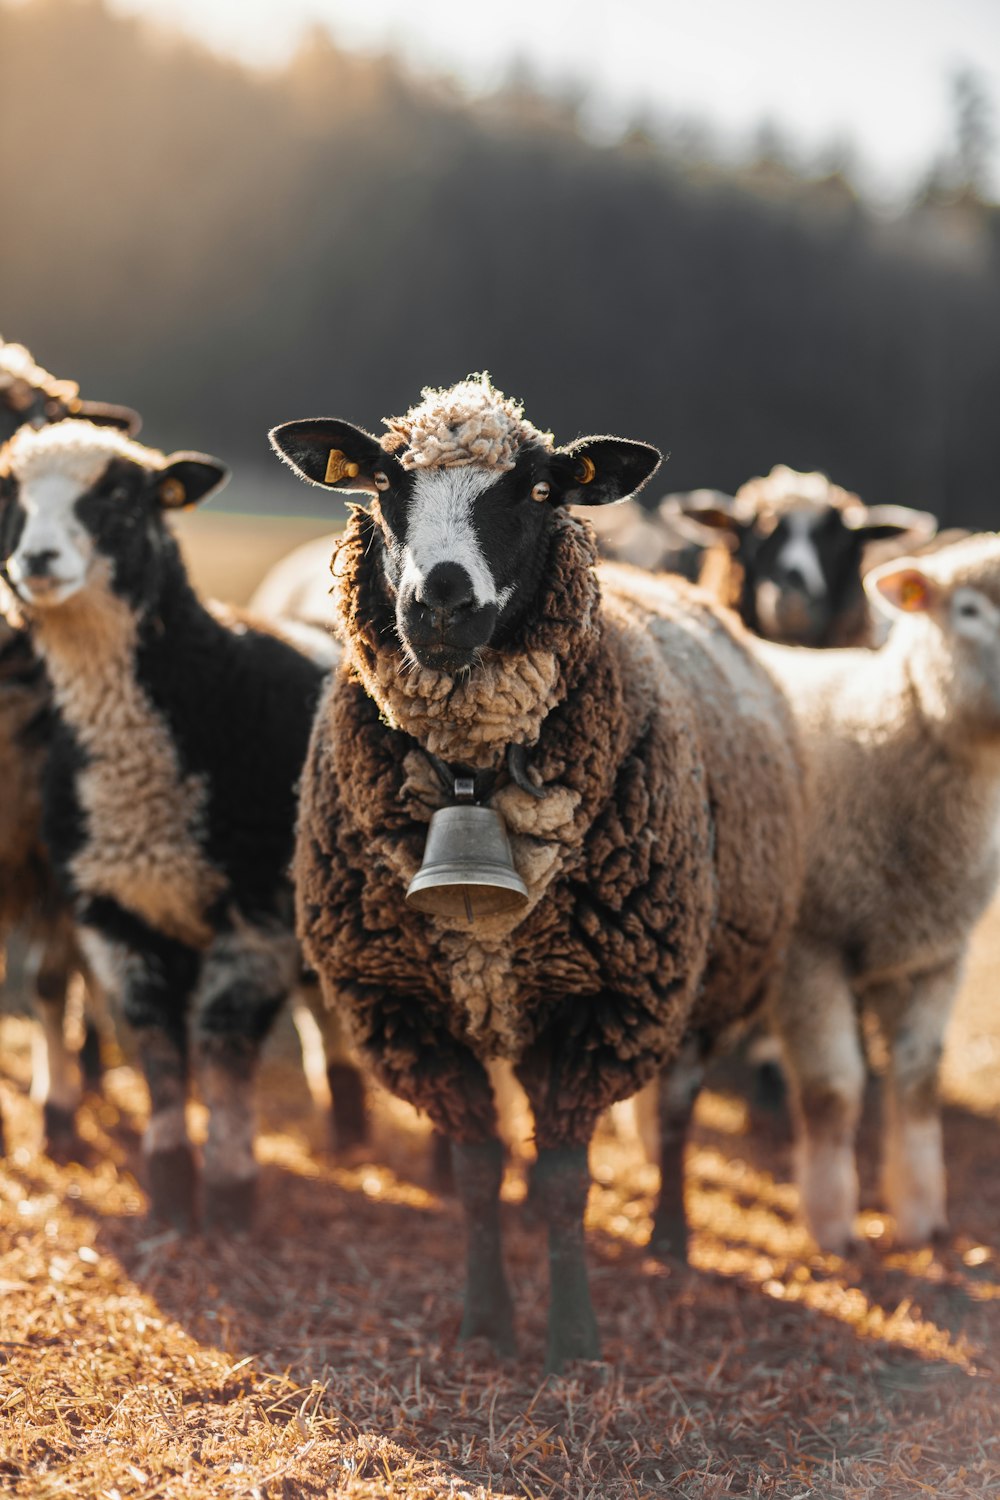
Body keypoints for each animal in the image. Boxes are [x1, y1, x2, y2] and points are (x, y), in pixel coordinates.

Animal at [0, 417, 361, 1224]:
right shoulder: (113, 911)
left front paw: (229, 1192)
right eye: (10, 497)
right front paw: (169, 1184)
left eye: (121, 496)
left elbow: (222, 1052)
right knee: (326, 1012)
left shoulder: (256, 916)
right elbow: (159, 1049)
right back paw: (347, 1120)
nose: (35, 559)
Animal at [265, 375, 803, 1374]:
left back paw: (671, 1235)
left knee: (676, 1114)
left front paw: (572, 1340)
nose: (441, 601)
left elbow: (564, 1179)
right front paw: (485, 1323)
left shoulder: (609, 1006)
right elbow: (478, 1170)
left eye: (541, 490)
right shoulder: (407, 1007)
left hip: (696, 988)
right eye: (384, 482)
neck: (470, 778)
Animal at [749, 540, 1000, 1254]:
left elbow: (918, 1081)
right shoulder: (809, 948)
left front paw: (920, 1214)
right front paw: (834, 1222)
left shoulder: (935, 953)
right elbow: (834, 1090)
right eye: (968, 611)